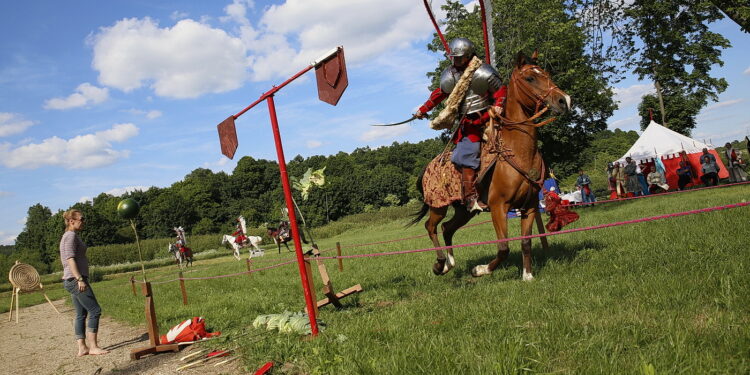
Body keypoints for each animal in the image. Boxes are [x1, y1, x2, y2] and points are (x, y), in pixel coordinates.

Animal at [418, 50, 568, 280]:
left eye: (547, 74)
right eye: (530, 78)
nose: (564, 100)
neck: (518, 150)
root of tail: (428, 168)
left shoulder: (530, 206)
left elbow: (526, 242)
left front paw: (527, 276)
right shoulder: (499, 207)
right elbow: (503, 247)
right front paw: (480, 270)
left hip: (464, 211)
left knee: (446, 228)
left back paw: (449, 263)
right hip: (438, 206)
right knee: (431, 226)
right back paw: (440, 264)